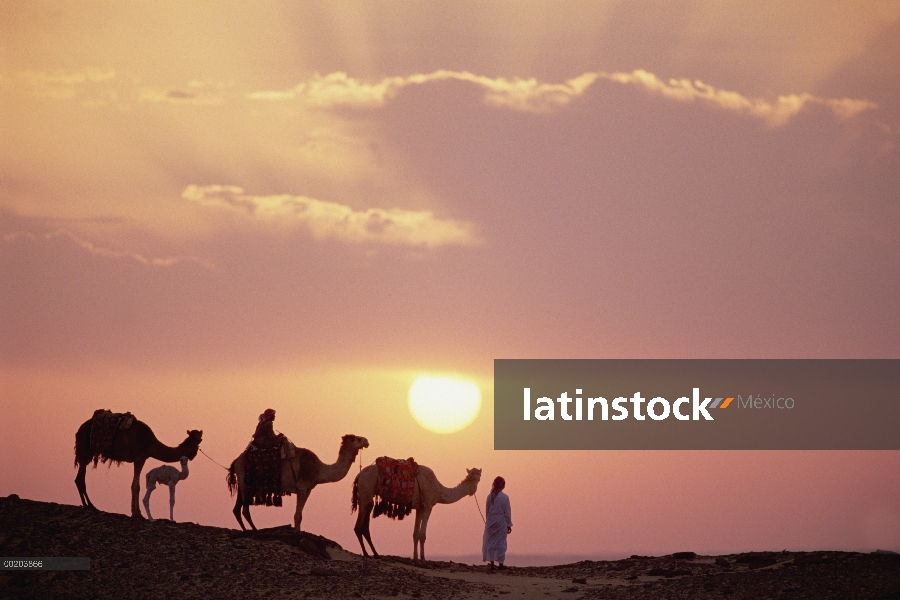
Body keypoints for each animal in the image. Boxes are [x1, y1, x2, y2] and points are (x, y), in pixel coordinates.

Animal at [74, 418, 202, 516]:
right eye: (200, 439)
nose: (194, 454)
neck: (150, 443)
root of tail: (78, 431)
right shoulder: (139, 458)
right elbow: (136, 486)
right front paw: (138, 513)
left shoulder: (140, 459)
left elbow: (133, 485)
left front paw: (134, 512)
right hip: (84, 450)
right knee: (80, 479)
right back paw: (89, 506)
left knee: (78, 478)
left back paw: (88, 505)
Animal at [229, 434, 370, 532]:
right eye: (357, 438)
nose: (367, 441)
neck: (319, 470)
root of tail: (236, 461)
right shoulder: (302, 487)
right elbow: (298, 515)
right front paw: (297, 533)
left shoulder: (308, 490)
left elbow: (300, 514)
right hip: (246, 482)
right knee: (245, 510)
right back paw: (254, 530)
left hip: (245, 484)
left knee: (237, 509)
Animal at [352, 464, 482, 564]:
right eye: (476, 478)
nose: (473, 491)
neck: (439, 490)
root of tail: (359, 475)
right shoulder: (428, 506)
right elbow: (422, 535)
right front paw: (423, 561)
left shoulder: (420, 508)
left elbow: (415, 534)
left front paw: (415, 560)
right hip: (366, 491)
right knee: (358, 526)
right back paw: (366, 553)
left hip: (367, 495)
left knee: (365, 524)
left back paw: (375, 554)